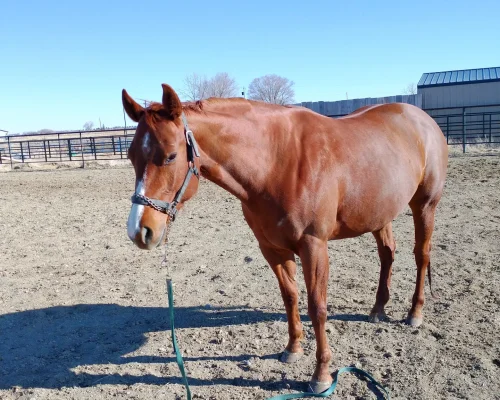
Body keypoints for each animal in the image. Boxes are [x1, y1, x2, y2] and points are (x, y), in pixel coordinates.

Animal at [122, 83, 450, 392]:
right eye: (131, 155)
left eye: (170, 156)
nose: (140, 231)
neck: (276, 162)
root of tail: (424, 120)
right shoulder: (272, 247)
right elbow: (290, 296)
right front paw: (293, 348)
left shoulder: (314, 246)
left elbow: (317, 306)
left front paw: (321, 375)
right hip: (380, 213)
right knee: (387, 255)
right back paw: (378, 309)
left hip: (425, 206)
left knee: (421, 255)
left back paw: (414, 313)